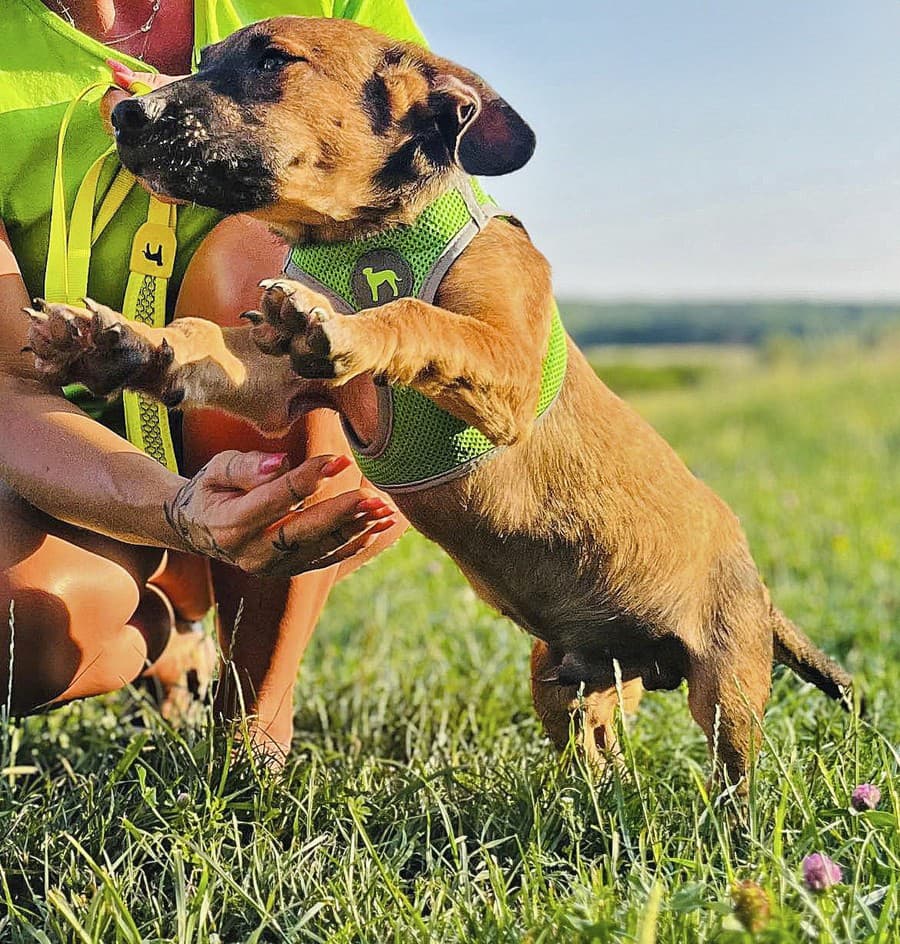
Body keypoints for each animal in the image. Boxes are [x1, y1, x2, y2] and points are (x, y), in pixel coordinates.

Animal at [26, 18, 856, 784]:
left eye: (273, 62)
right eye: (203, 61)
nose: (126, 116)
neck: (357, 241)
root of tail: (760, 596)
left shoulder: (506, 366)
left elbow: (414, 316)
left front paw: (344, 325)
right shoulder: (276, 382)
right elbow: (204, 339)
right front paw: (123, 343)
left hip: (726, 689)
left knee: (733, 779)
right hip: (565, 678)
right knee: (599, 754)